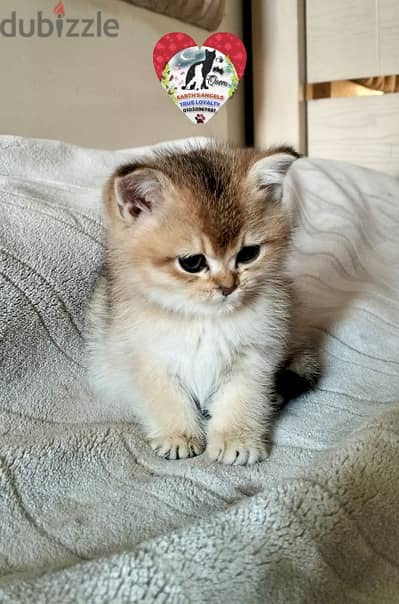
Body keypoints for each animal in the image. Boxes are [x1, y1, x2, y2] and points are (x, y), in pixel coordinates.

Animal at [89, 144, 320, 464]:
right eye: (192, 262)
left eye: (248, 254)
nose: (227, 287)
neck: (203, 320)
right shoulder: (149, 359)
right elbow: (166, 398)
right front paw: (178, 435)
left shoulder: (255, 356)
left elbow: (243, 397)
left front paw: (238, 438)